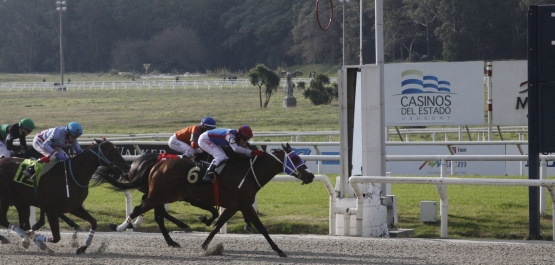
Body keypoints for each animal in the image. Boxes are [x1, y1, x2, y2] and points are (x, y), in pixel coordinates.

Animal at [0, 139, 129, 255]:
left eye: (117, 150)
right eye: (110, 151)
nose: (126, 166)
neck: (74, 175)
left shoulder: (74, 207)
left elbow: (94, 222)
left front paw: (82, 247)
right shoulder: (51, 209)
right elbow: (56, 237)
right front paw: (38, 240)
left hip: (20, 202)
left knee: (20, 223)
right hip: (5, 199)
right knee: (4, 220)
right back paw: (25, 239)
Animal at [97, 142, 314, 256]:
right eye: (296, 158)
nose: (310, 175)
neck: (247, 172)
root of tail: (158, 164)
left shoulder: (233, 206)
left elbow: (217, 224)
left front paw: (205, 244)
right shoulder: (244, 204)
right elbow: (261, 227)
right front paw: (279, 250)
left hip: (166, 194)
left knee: (155, 214)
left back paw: (172, 239)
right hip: (160, 194)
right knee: (139, 210)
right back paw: (118, 228)